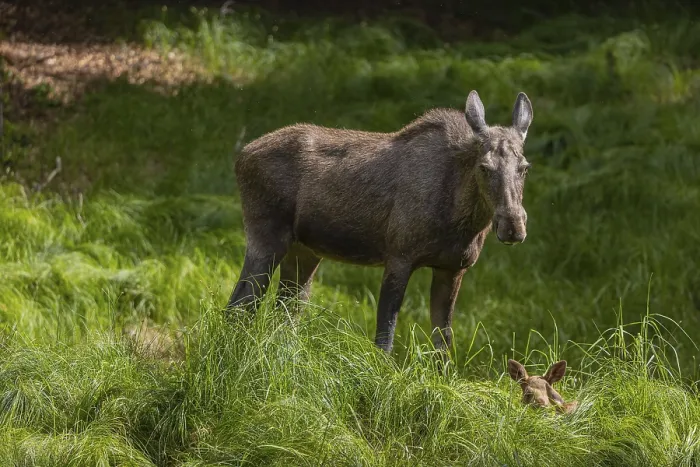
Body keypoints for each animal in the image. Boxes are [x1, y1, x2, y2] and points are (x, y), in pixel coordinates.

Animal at [227, 90, 534, 355]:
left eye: (524, 167)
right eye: (484, 167)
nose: (513, 226)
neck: (461, 220)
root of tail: (241, 157)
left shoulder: (453, 268)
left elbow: (443, 341)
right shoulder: (399, 256)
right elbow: (385, 336)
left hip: (305, 251)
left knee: (285, 311)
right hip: (266, 235)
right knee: (240, 303)